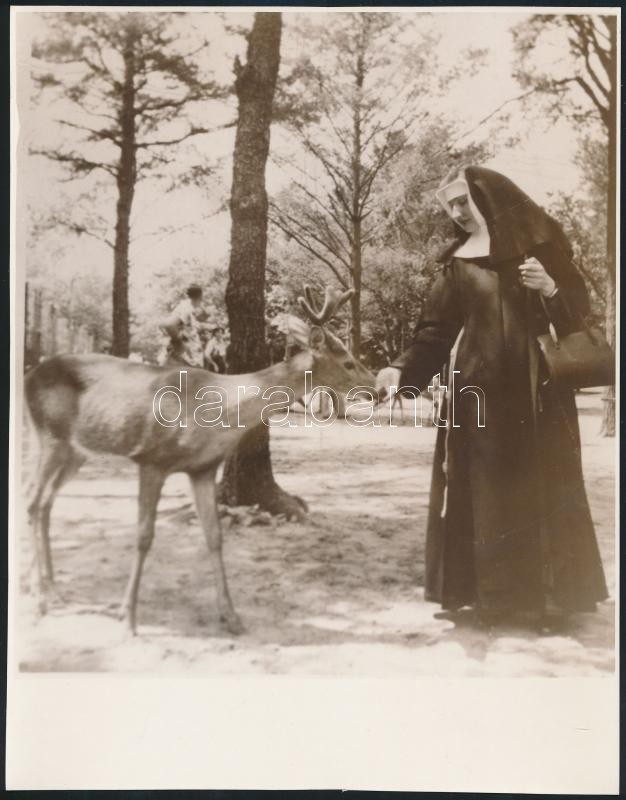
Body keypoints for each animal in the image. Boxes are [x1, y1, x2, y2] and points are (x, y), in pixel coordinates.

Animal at [24, 286, 377, 636]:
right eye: (348, 363)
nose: (378, 388)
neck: (217, 409)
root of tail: (29, 375)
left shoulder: (203, 468)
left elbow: (214, 537)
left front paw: (231, 616)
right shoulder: (152, 459)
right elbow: (144, 536)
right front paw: (129, 617)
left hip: (77, 450)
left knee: (46, 503)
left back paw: (53, 591)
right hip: (51, 435)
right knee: (33, 501)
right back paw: (39, 598)